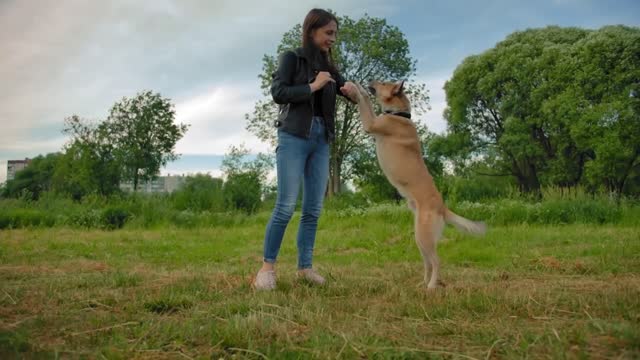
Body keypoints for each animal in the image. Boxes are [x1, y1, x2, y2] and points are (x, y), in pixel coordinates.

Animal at [342, 81, 488, 290]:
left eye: (383, 83)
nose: (370, 81)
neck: (399, 114)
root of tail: (443, 208)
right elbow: (367, 99)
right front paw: (360, 88)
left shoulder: (371, 124)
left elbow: (364, 102)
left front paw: (354, 88)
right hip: (420, 238)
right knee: (428, 262)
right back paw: (422, 283)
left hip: (424, 237)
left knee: (436, 261)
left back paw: (431, 287)